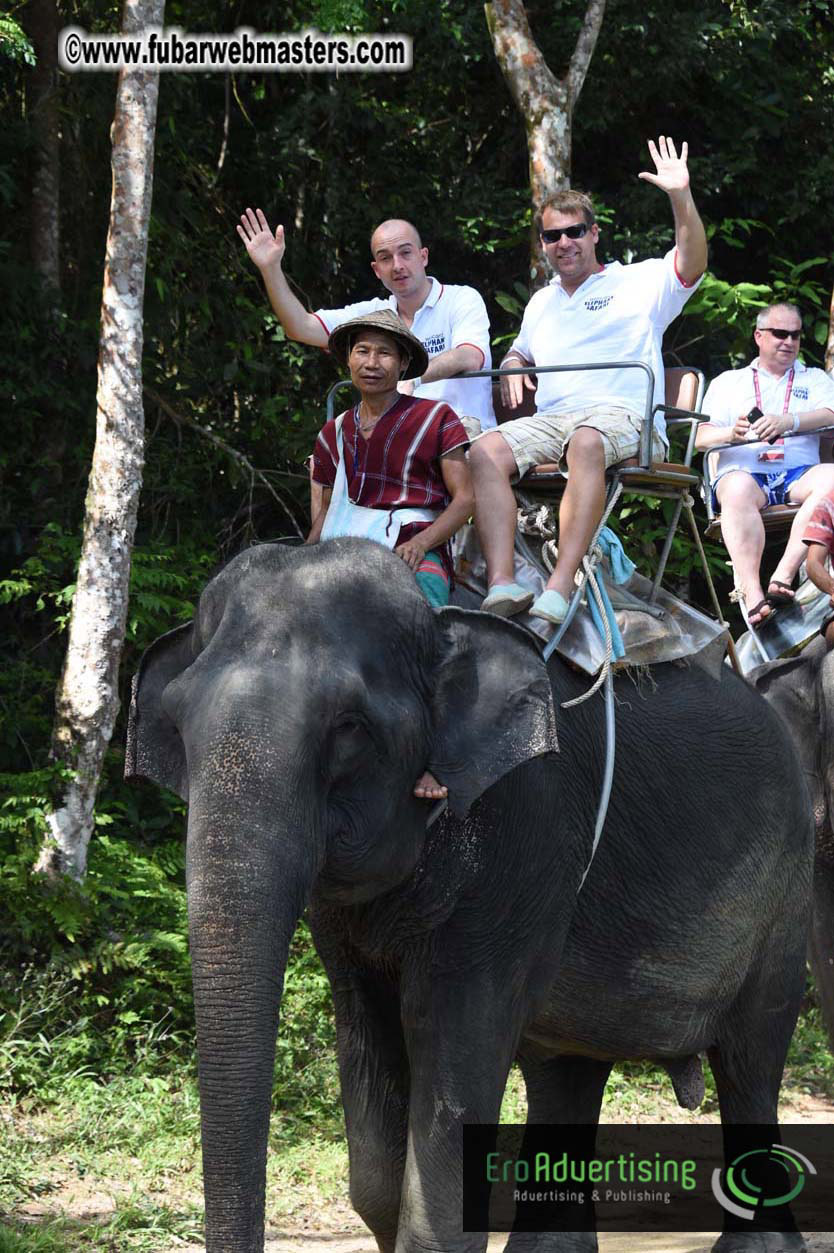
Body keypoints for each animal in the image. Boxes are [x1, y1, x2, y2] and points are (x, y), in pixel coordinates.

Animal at [126, 537, 813, 1253]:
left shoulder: (522, 828)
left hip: (786, 887)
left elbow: (456, 1032)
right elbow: (372, 1135)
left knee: (752, 1054)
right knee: (567, 1071)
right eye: (176, 722)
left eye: (348, 726)